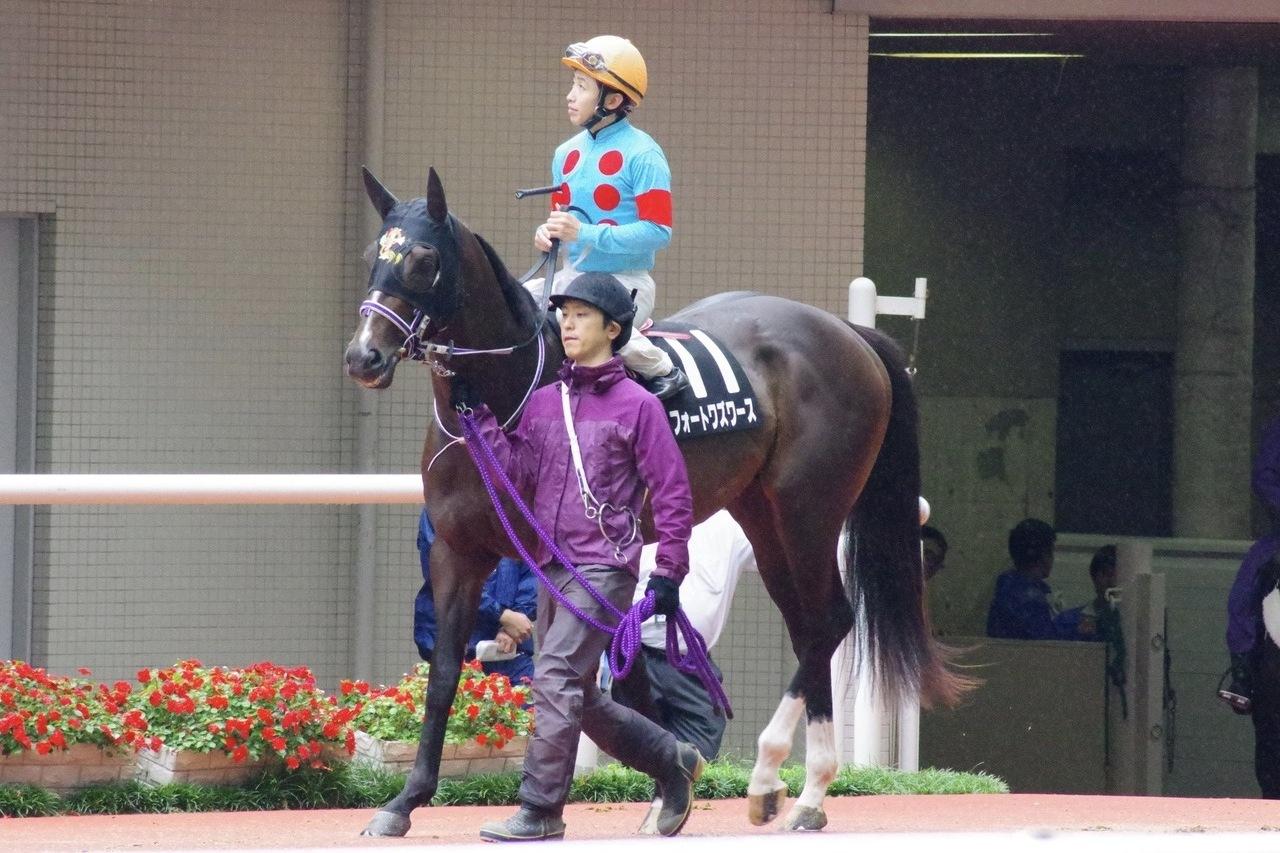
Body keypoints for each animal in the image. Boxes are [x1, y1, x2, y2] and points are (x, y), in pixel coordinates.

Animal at [343, 167, 965, 836]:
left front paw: (664, 778)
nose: (363, 356)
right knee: (809, 628)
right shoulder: (458, 552)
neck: (503, 397)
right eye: (373, 254)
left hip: (810, 510)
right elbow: (448, 677)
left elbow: (589, 681)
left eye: (424, 260)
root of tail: (850, 333)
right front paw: (404, 802)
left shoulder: (567, 558)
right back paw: (806, 792)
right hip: (764, 516)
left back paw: (776, 776)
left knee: (828, 621)